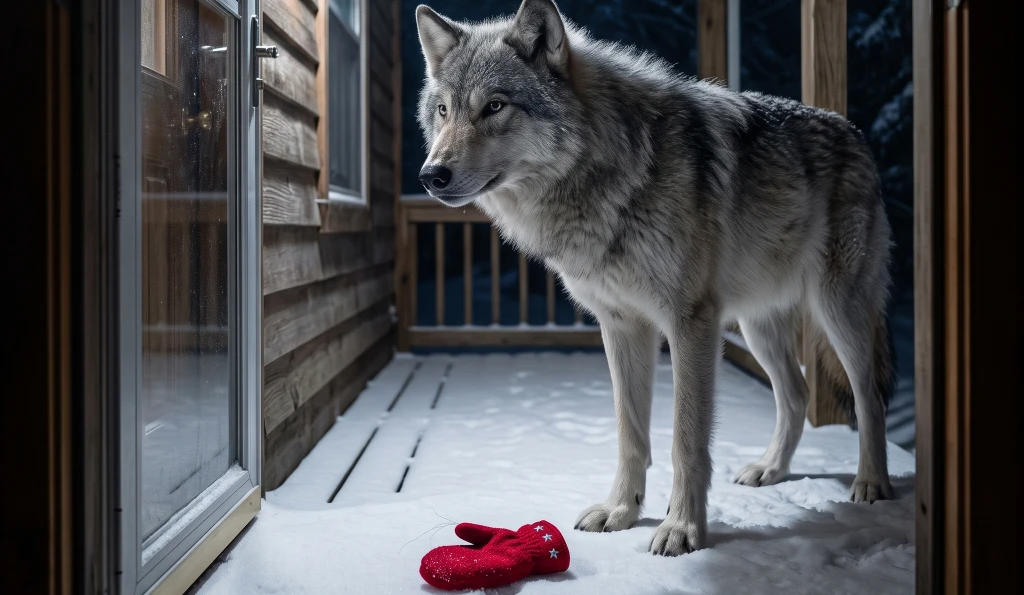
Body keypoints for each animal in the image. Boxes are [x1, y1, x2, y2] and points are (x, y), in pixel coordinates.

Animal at [414, 0, 897, 556]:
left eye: (494, 106)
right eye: (443, 111)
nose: (431, 175)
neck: (611, 172)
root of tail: (854, 130)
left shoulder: (690, 324)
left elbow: (685, 439)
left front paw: (682, 529)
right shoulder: (622, 325)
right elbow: (630, 433)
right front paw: (621, 512)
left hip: (838, 310)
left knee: (869, 396)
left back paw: (872, 483)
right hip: (756, 327)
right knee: (795, 394)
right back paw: (771, 469)